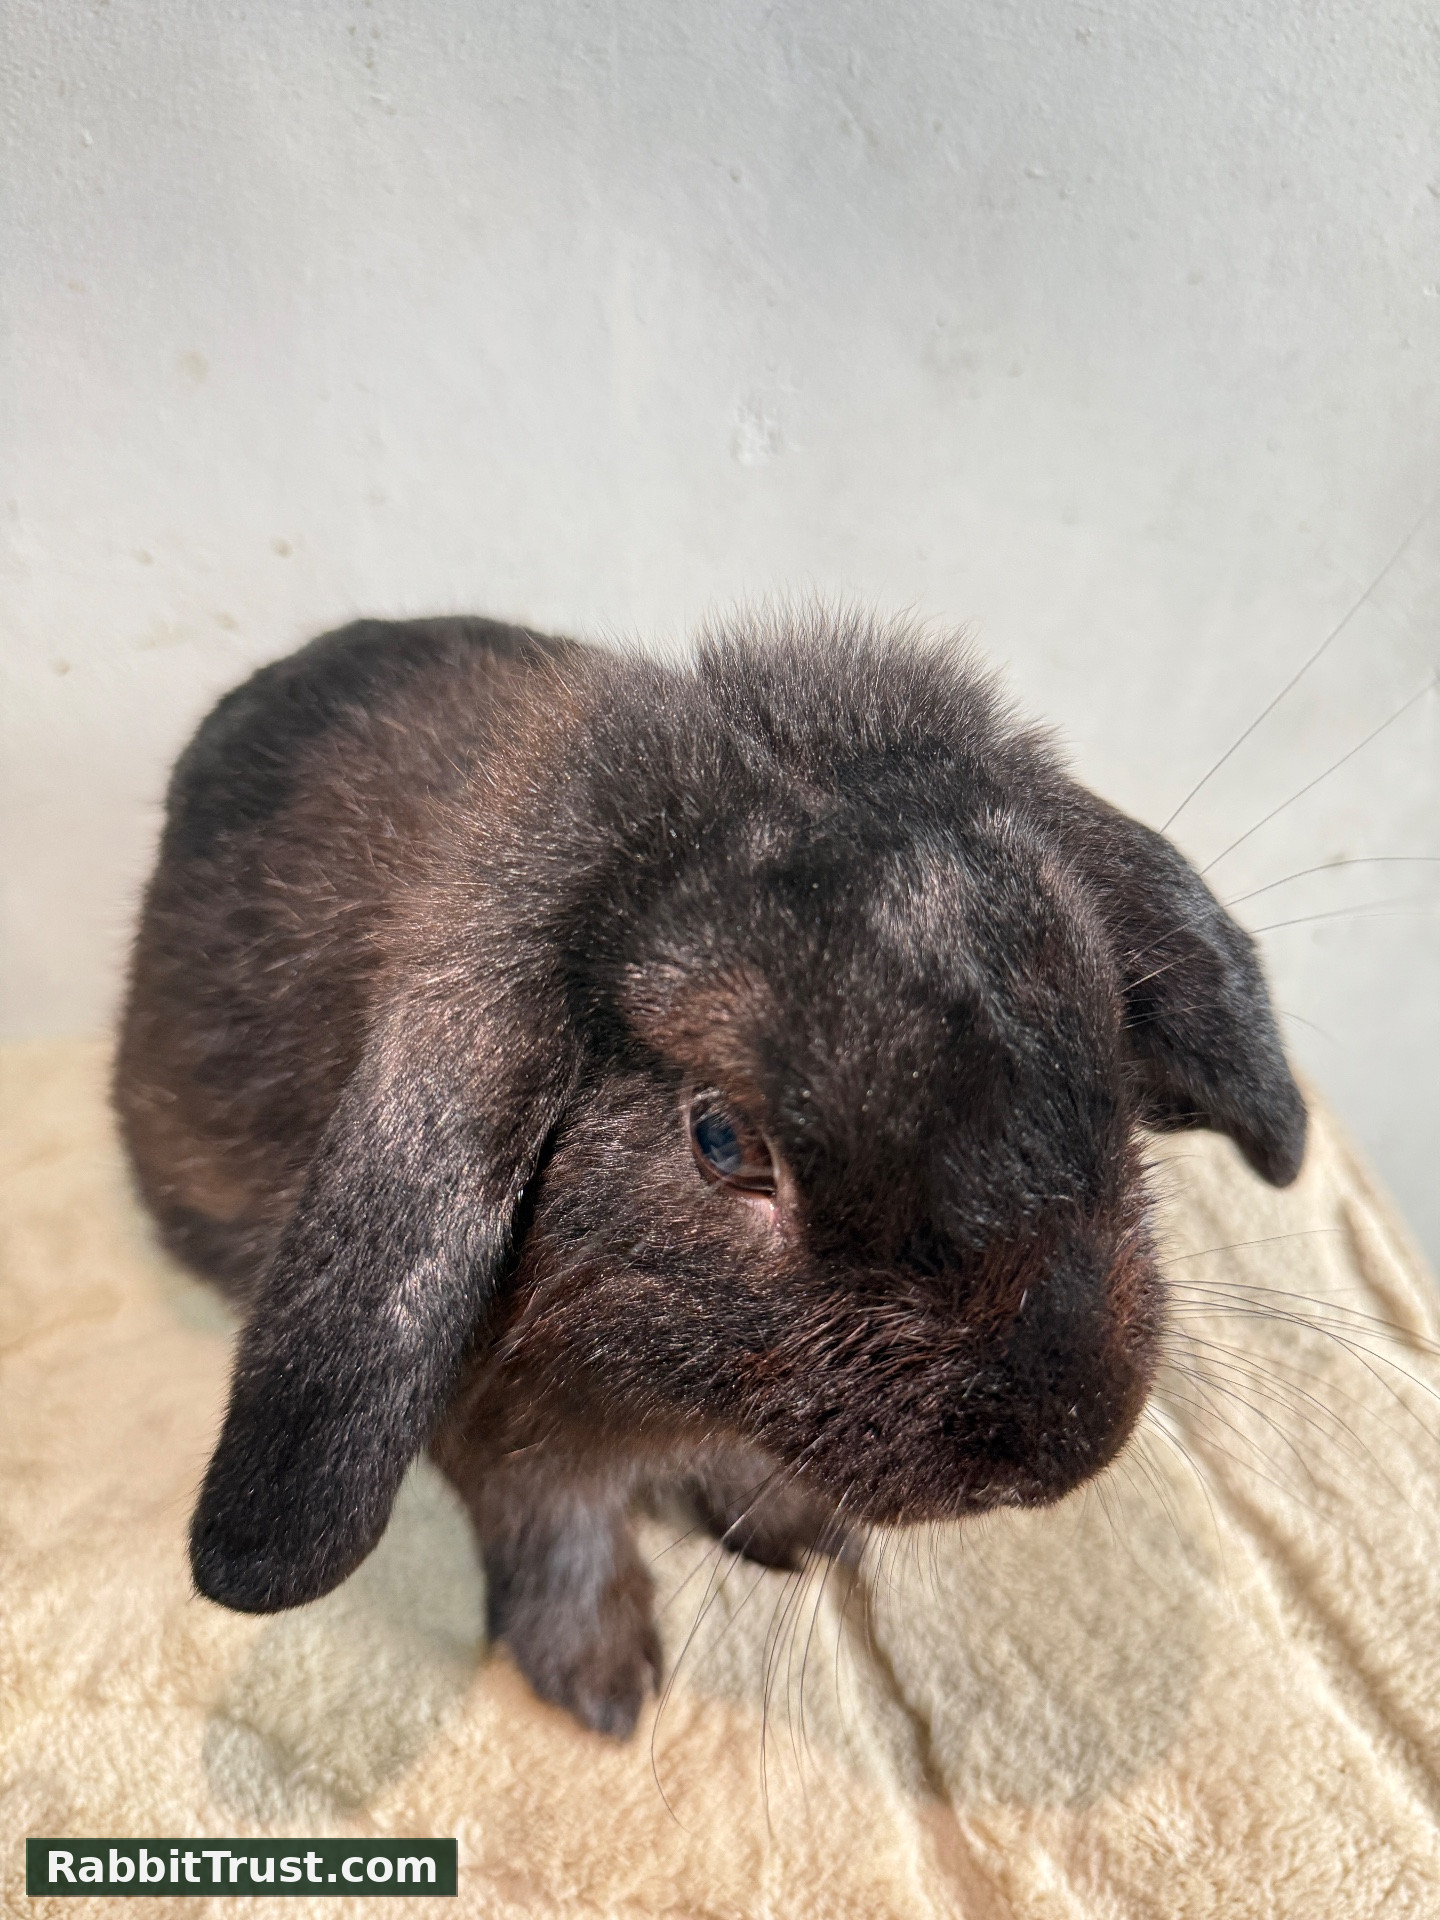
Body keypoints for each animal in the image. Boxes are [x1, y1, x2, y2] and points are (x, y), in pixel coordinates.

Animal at [113, 608, 1307, 1738]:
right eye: (724, 1141)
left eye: (1100, 1027)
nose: (1064, 1444)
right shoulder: (501, 1437)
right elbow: (560, 1526)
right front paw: (603, 1681)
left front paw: (796, 1530)